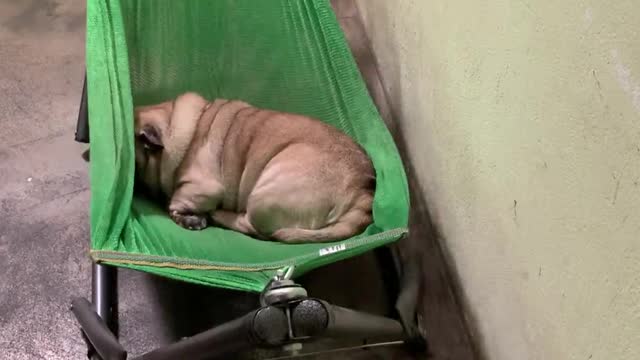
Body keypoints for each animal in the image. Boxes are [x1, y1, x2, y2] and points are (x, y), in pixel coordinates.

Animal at [134, 92, 376, 245]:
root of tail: (363, 195)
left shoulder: (204, 188)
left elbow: (177, 200)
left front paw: (187, 217)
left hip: (265, 193)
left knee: (252, 226)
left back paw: (220, 215)